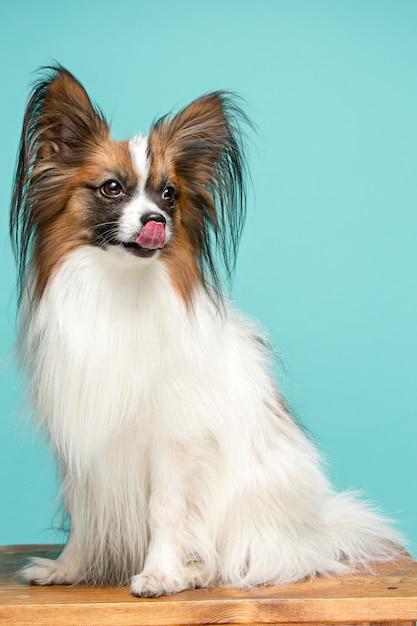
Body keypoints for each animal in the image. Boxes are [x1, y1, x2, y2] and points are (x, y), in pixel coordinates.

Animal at [9, 64, 400, 596]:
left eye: (168, 194)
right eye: (112, 189)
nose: (156, 219)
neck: (118, 286)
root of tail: (315, 532)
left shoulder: (174, 440)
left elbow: (166, 511)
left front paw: (159, 573)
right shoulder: (85, 445)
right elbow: (84, 513)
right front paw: (68, 568)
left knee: (252, 557)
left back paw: (196, 570)